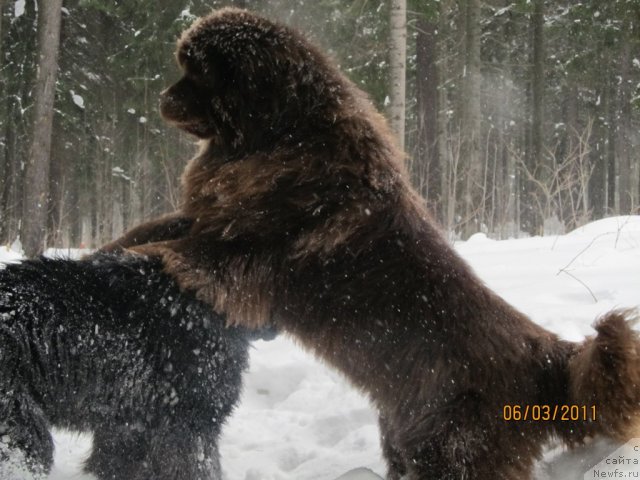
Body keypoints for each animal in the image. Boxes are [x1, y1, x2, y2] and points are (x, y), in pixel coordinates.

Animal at [107, 9, 640, 478]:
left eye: (198, 72)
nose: (161, 96)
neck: (281, 138)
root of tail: (547, 357)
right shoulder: (211, 218)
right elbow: (154, 227)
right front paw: (113, 247)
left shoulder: (249, 257)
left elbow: (186, 252)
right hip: (404, 431)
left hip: (453, 448)